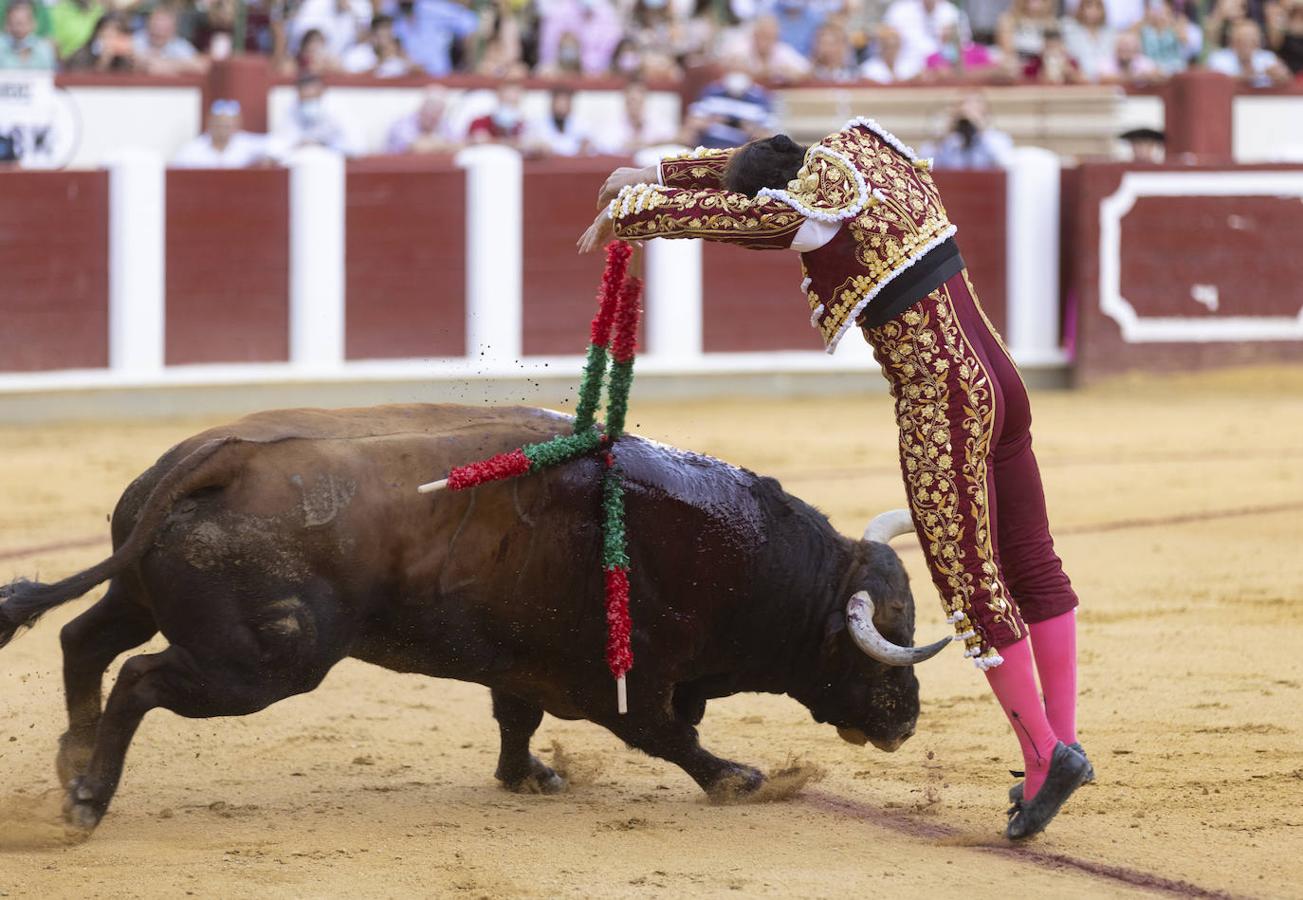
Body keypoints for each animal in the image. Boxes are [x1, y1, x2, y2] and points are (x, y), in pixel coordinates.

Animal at [0, 403, 948, 833]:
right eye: (884, 640)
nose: (905, 724)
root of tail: (217, 457)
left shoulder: (521, 662)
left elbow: (514, 719)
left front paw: (529, 775)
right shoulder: (627, 682)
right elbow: (670, 737)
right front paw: (740, 779)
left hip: (144, 594)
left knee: (85, 639)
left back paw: (72, 759)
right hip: (261, 663)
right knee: (139, 677)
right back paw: (87, 798)